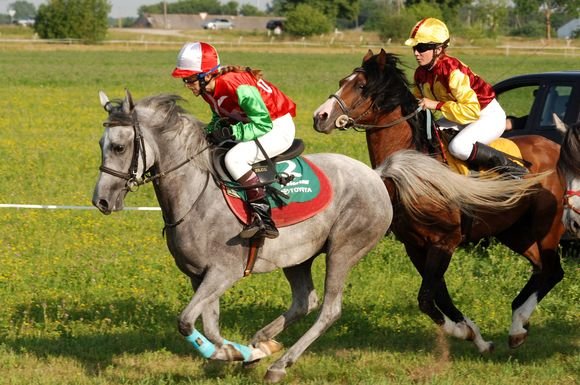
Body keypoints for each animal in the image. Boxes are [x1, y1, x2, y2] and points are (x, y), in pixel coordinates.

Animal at [93, 90, 392, 380]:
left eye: (119, 147)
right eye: (100, 144)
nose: (101, 201)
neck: (196, 193)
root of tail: (375, 175)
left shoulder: (224, 272)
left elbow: (186, 321)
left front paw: (239, 354)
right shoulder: (199, 276)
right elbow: (211, 328)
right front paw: (244, 353)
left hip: (343, 251)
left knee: (329, 310)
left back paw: (279, 365)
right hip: (298, 258)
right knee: (304, 302)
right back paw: (263, 342)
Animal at [312, 49, 568, 352]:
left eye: (361, 86)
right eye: (343, 81)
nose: (320, 116)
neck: (414, 172)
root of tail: (555, 146)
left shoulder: (445, 241)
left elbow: (426, 297)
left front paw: (462, 332)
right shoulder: (415, 245)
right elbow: (439, 294)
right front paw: (476, 336)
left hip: (546, 227)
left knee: (553, 270)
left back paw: (518, 323)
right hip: (514, 232)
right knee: (542, 269)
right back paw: (518, 324)